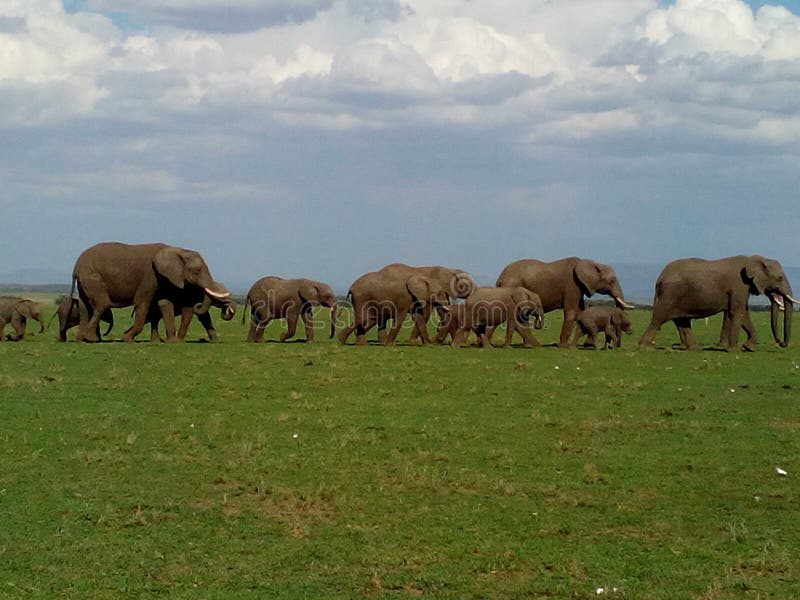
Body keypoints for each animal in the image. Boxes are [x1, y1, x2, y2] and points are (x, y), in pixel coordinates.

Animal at [70, 240, 230, 342]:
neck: (176, 250)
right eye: (197, 271)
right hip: (92, 277)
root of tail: (76, 266)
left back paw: (82, 339)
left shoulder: (163, 279)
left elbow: (161, 302)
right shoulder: (150, 276)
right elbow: (142, 302)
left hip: (85, 280)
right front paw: (127, 339)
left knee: (84, 306)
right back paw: (91, 339)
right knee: (102, 304)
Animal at [494, 256, 632, 346]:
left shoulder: (579, 287)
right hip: (513, 287)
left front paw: (588, 344)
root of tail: (500, 279)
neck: (591, 263)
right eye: (611, 280)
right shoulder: (572, 285)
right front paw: (563, 346)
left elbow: (581, 312)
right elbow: (571, 312)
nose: (613, 346)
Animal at [636, 254, 792, 352]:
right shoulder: (739, 285)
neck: (755, 259)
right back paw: (645, 348)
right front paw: (735, 350)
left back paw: (695, 349)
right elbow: (738, 311)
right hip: (670, 294)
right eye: (779, 277)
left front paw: (748, 347)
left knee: (682, 320)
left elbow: (742, 312)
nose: (781, 343)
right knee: (658, 318)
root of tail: (660, 278)